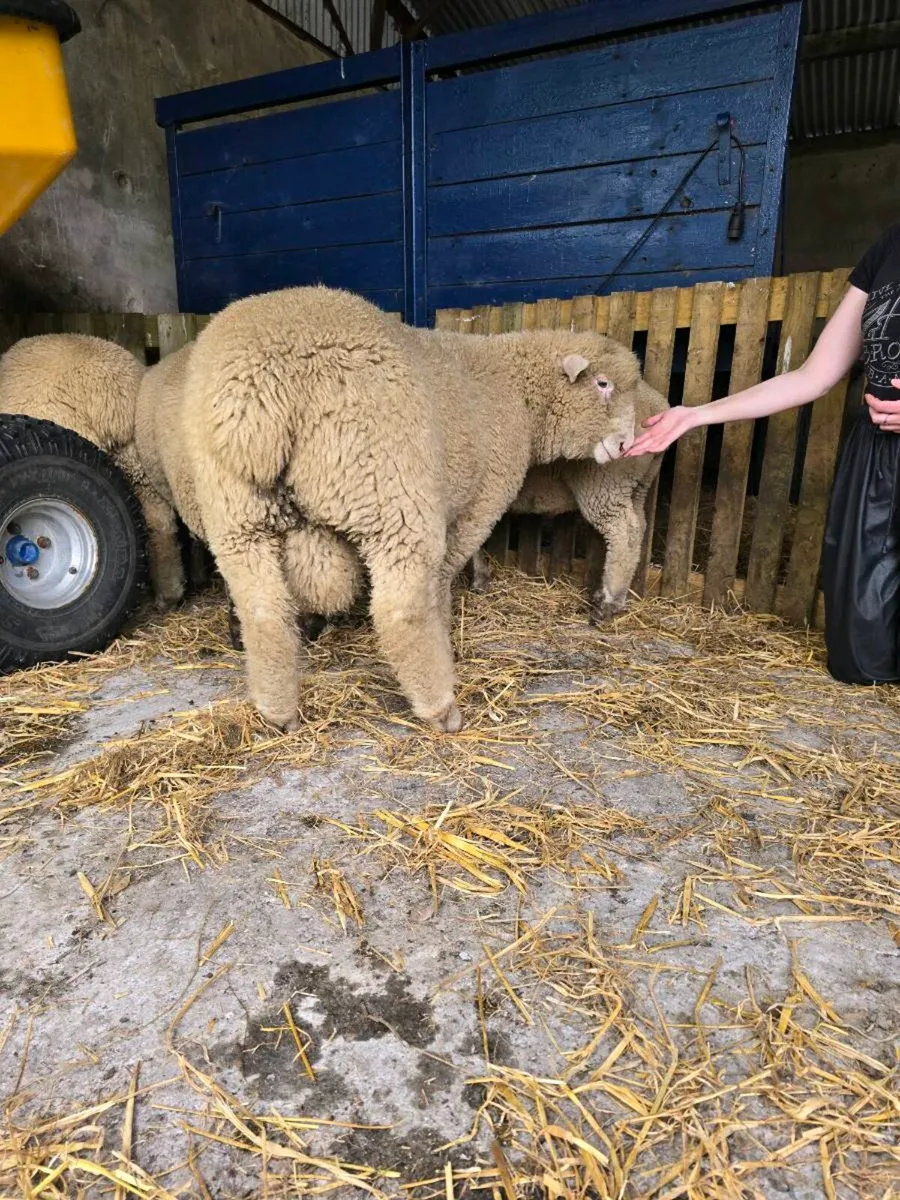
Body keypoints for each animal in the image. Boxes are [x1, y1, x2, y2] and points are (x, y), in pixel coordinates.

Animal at [169, 284, 640, 733]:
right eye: (602, 384)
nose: (626, 445)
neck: (517, 390)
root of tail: (255, 394)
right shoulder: (483, 497)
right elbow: (446, 572)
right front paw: (447, 621)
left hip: (236, 513)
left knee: (264, 611)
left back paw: (277, 712)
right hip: (388, 488)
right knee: (400, 609)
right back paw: (440, 708)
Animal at [469, 378, 668, 618]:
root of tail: (657, 404)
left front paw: (479, 578)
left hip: (605, 482)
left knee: (625, 531)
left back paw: (608, 602)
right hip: (638, 484)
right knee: (639, 525)